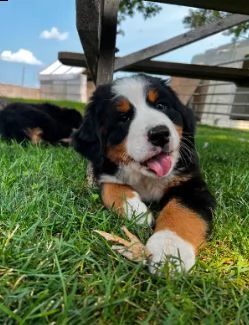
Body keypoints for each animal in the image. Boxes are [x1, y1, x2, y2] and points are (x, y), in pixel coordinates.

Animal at [73, 74, 215, 272]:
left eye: (161, 106)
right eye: (123, 117)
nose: (160, 134)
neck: (147, 178)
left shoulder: (191, 184)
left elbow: (182, 211)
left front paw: (170, 251)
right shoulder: (104, 172)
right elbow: (111, 188)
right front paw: (136, 211)